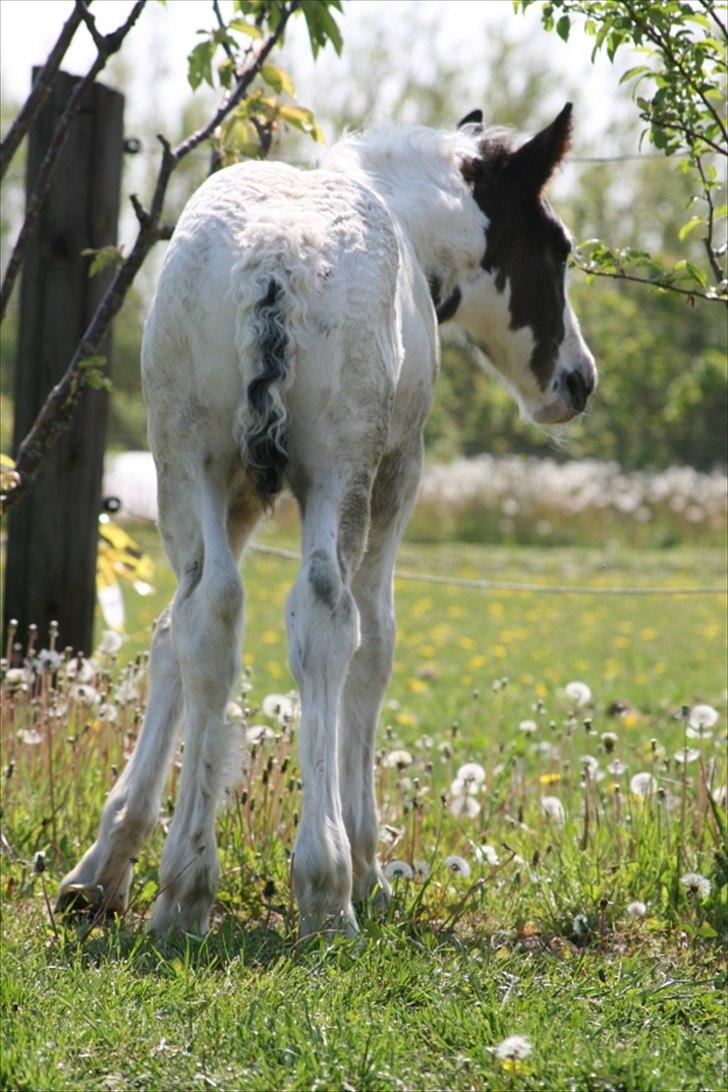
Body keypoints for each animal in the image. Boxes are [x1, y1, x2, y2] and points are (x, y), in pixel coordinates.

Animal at [59, 104, 593, 939]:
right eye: (556, 247)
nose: (578, 381)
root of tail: (275, 259)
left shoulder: (238, 493)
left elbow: (174, 640)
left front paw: (105, 864)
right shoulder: (397, 470)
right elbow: (374, 645)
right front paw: (369, 864)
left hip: (185, 456)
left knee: (207, 614)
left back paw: (183, 892)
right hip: (342, 466)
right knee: (326, 614)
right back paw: (326, 886)